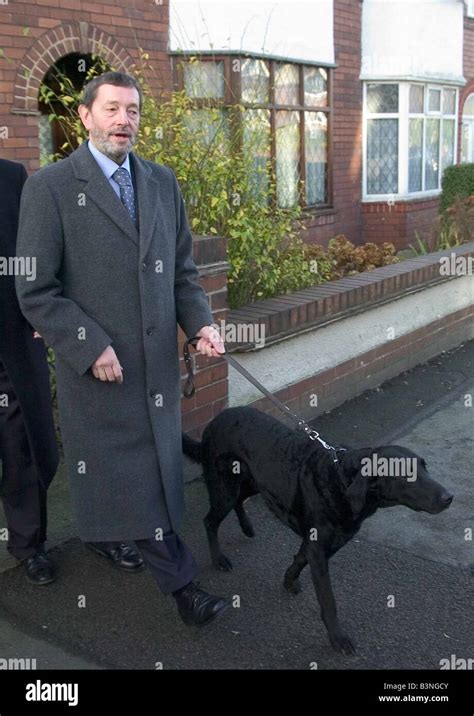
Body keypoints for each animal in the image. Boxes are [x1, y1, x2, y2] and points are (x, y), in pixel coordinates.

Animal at [181, 406, 452, 652]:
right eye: (407, 474)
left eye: (425, 467)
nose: (449, 497)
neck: (341, 482)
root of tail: (214, 421)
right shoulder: (319, 550)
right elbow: (328, 600)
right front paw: (338, 638)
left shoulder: (321, 544)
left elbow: (299, 560)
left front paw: (289, 580)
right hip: (224, 487)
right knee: (210, 521)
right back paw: (219, 559)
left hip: (250, 482)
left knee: (239, 501)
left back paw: (247, 528)